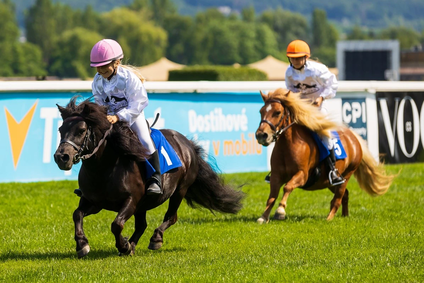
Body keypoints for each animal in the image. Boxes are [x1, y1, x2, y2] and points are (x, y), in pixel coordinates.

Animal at [54, 98, 243, 260]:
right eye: (60, 130)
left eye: (81, 130)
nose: (61, 157)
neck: (105, 168)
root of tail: (188, 144)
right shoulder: (94, 201)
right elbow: (77, 214)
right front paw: (82, 245)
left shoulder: (131, 200)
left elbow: (117, 224)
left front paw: (123, 245)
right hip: (143, 205)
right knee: (142, 225)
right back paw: (132, 245)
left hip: (179, 191)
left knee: (170, 217)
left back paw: (154, 240)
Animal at [255, 87, 394, 223]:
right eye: (261, 111)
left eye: (277, 112)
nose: (261, 135)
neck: (288, 147)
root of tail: (354, 138)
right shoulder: (276, 175)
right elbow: (272, 196)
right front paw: (264, 216)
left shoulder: (302, 175)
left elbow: (287, 187)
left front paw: (280, 211)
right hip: (328, 182)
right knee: (345, 194)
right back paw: (345, 215)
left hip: (346, 176)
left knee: (337, 199)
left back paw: (329, 218)